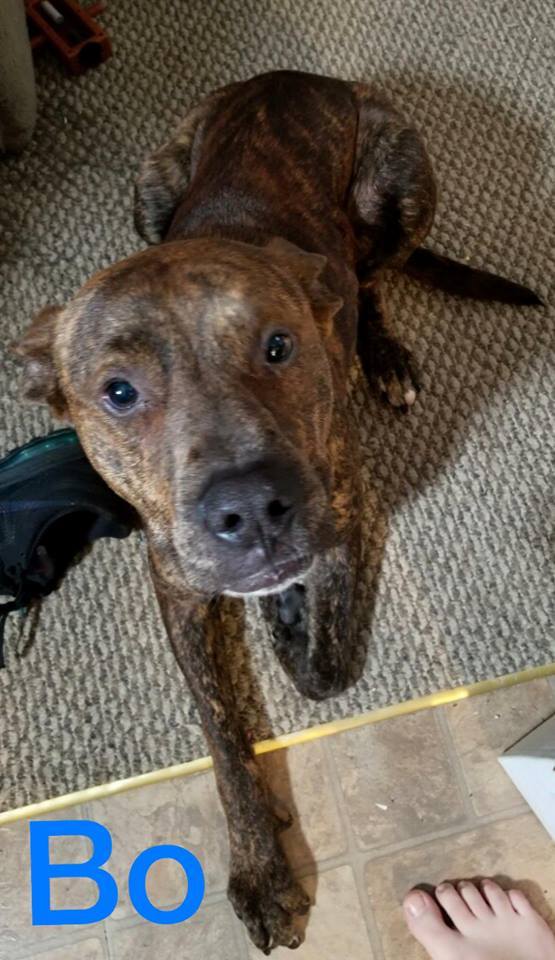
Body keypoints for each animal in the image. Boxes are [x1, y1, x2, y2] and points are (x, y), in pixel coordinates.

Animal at [15, 71, 540, 948]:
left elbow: (323, 671)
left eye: (278, 347)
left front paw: (289, 627)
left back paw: (381, 353)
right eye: (118, 393)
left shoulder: (345, 514)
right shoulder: (176, 580)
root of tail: (295, 80)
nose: (251, 510)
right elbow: (224, 738)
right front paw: (262, 867)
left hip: (402, 182)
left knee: (369, 278)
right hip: (148, 186)